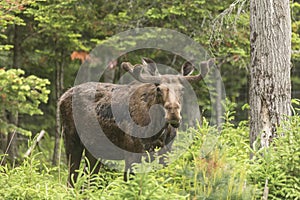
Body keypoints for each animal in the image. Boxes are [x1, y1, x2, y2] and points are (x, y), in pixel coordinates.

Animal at [59, 57, 213, 187]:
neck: (156, 131)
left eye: (182, 89)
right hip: (71, 139)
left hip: (94, 150)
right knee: (71, 179)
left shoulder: (165, 153)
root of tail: (62, 96)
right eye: (158, 89)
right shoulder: (131, 153)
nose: (173, 114)